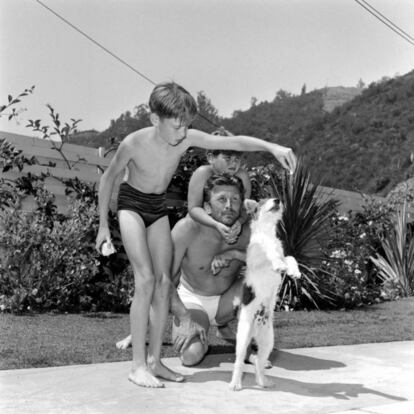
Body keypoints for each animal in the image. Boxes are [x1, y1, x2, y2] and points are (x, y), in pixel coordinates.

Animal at [230, 197, 300, 392]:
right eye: (262, 201)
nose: (277, 199)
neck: (268, 232)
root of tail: (255, 328)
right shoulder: (258, 259)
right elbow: (269, 251)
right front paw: (278, 264)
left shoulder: (284, 254)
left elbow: (290, 257)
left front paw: (294, 271)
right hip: (243, 337)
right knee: (239, 361)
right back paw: (235, 383)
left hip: (267, 341)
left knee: (259, 363)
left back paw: (263, 382)